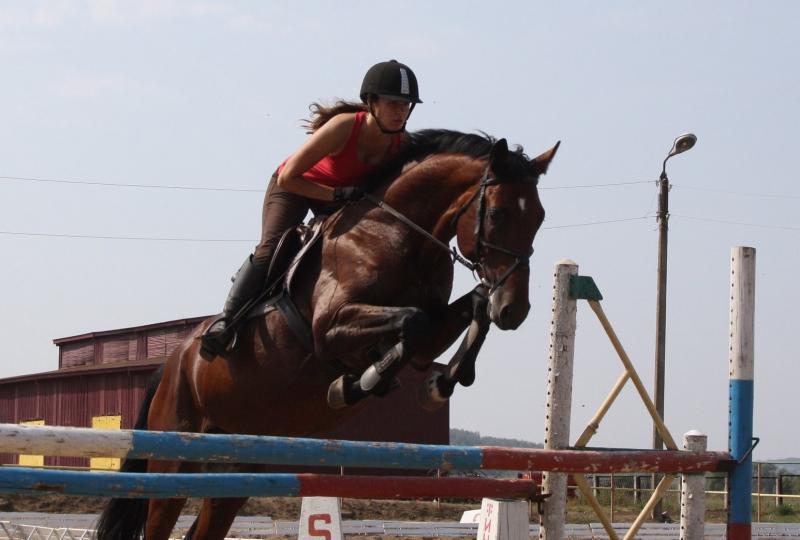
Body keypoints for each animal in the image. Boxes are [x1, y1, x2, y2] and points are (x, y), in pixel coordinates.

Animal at [95, 129, 559, 540]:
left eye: (539, 217)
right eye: (497, 214)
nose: (514, 311)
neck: (399, 237)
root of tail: (172, 364)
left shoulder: (425, 343)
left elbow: (465, 307)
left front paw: (441, 382)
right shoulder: (330, 328)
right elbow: (412, 321)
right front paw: (357, 384)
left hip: (236, 471)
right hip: (173, 465)